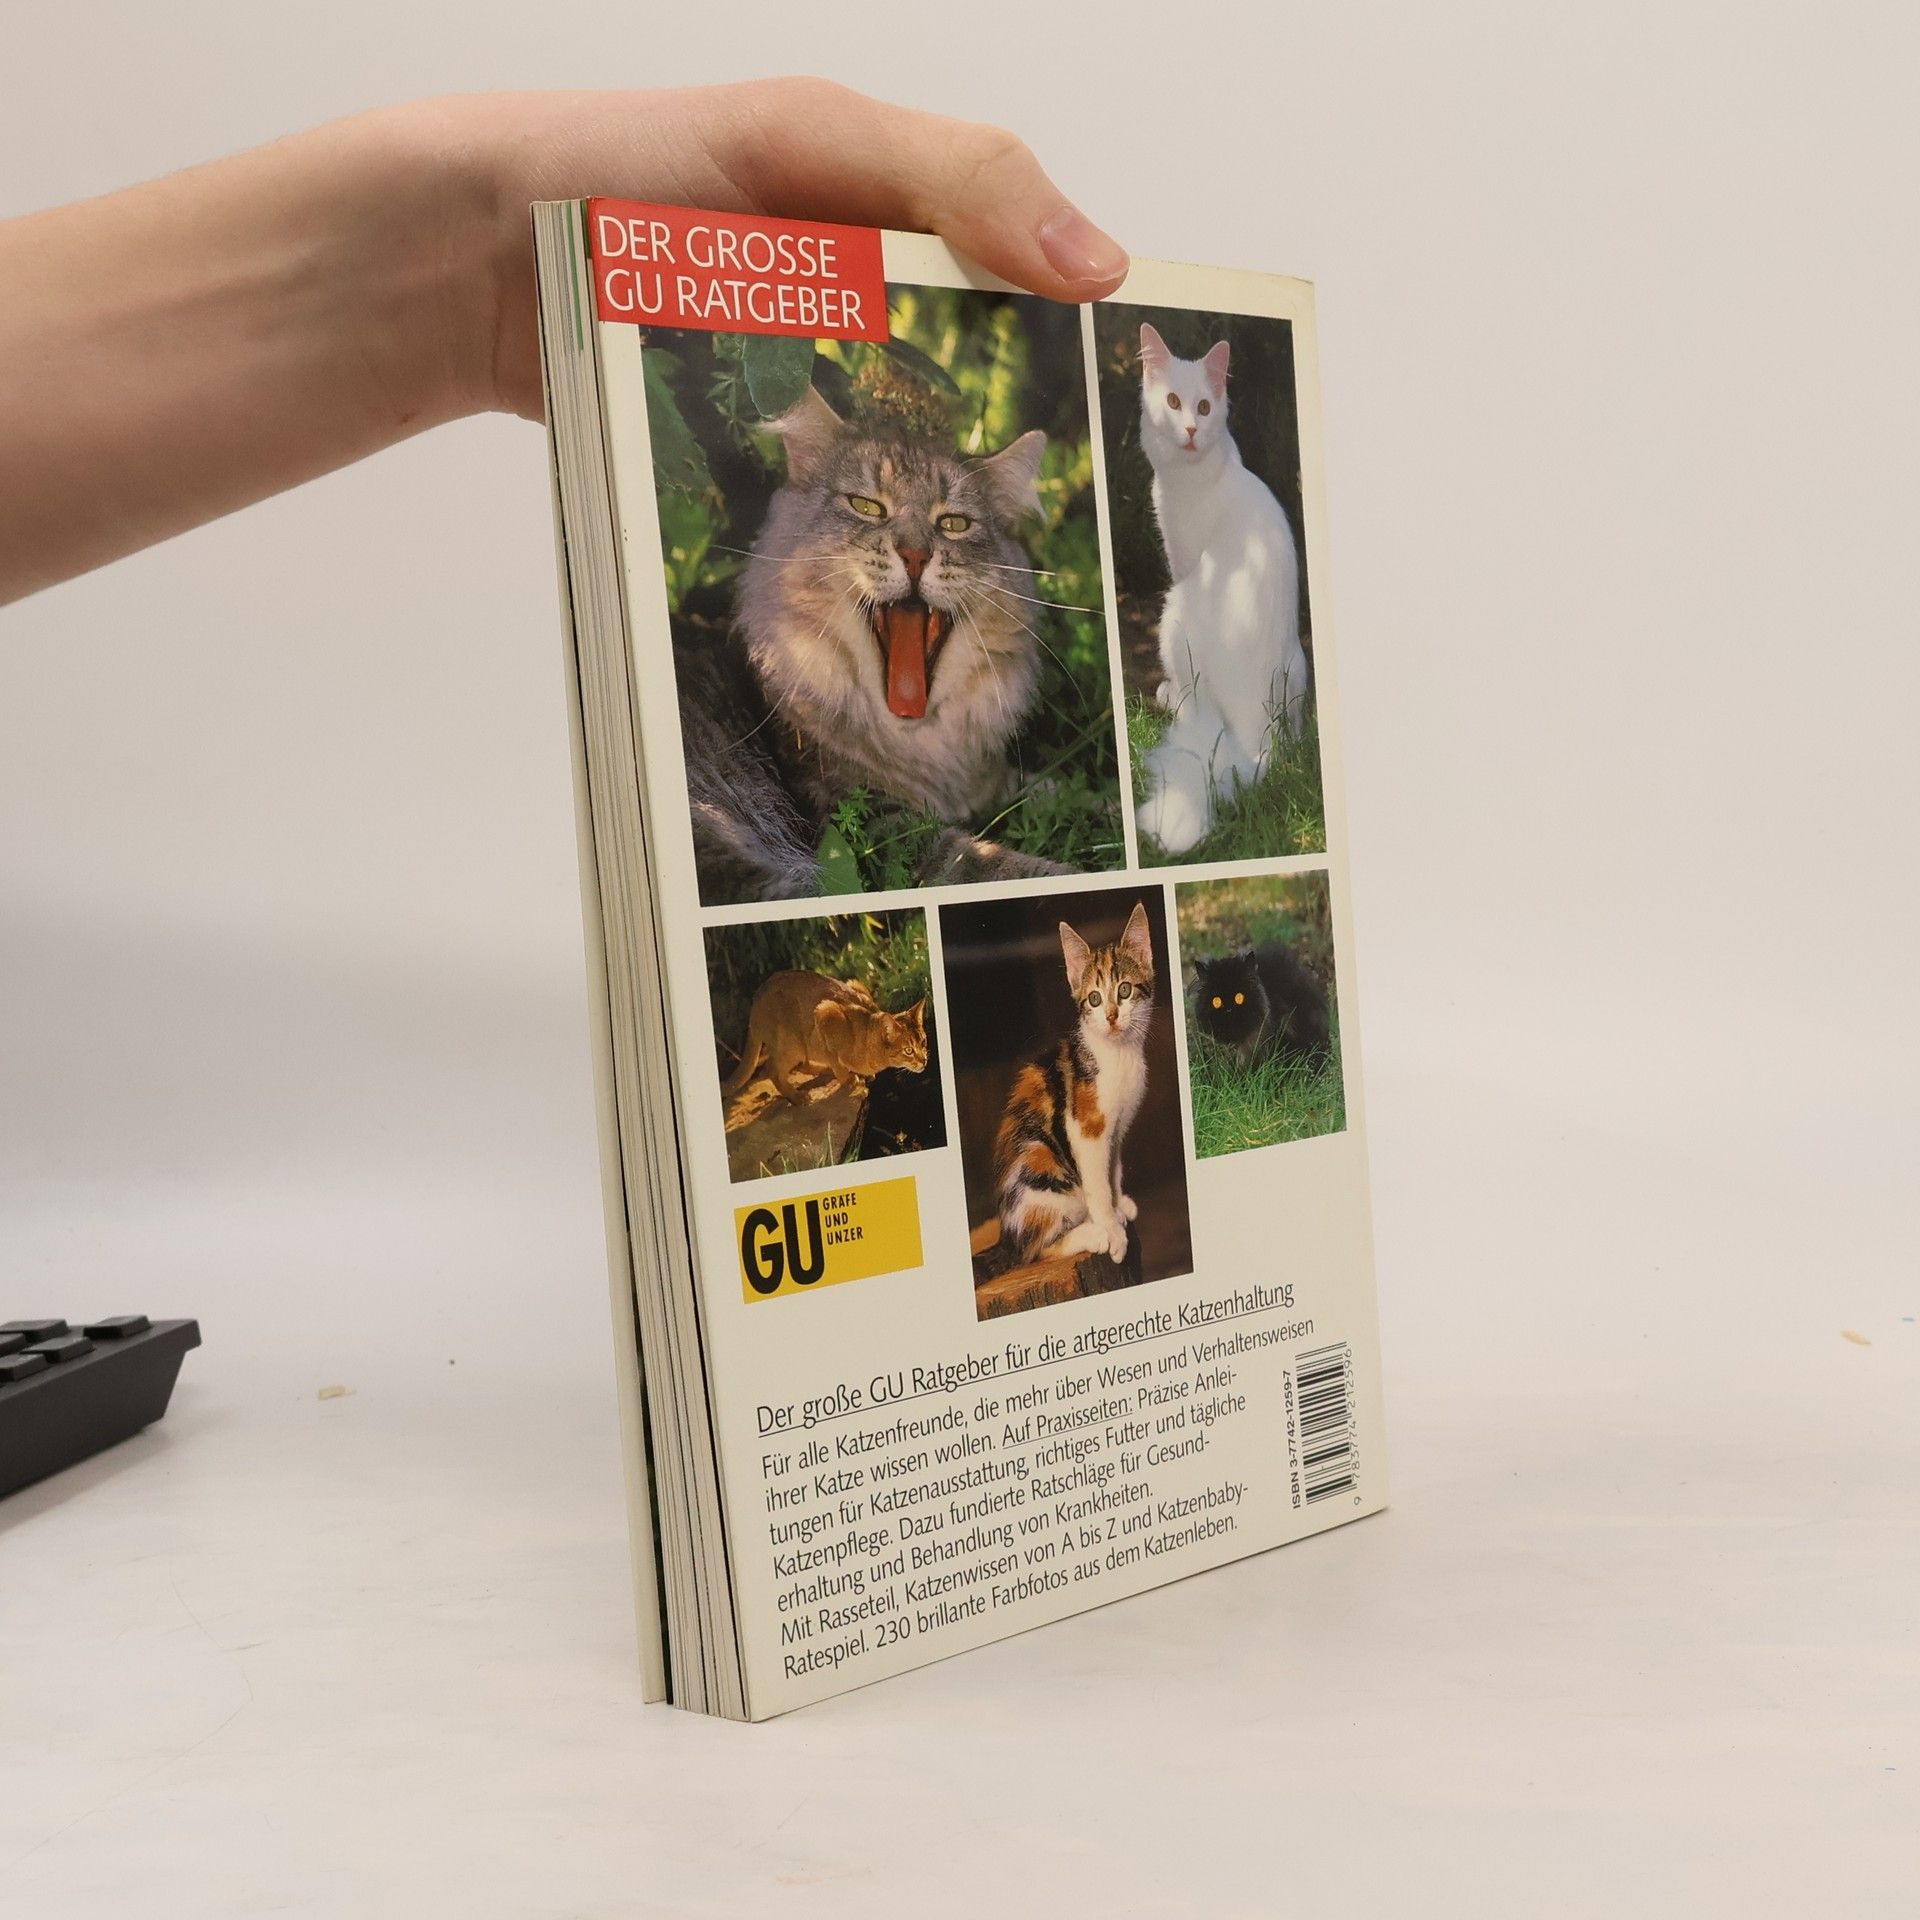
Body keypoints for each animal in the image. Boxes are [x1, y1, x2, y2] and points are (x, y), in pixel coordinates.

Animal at [677, 387, 1069, 903]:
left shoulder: (995, 785)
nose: (916, 555)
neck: (928, 749)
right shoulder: (884, 831)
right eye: (867, 507)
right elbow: (1003, 868)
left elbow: (1061, 791)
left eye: (954, 523)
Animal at [723, 971, 929, 1107]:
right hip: (792, 1042)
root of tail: (754, 1005)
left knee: (802, 1066)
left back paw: (824, 1072)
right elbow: (836, 1059)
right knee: (772, 1069)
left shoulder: (856, 985)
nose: (924, 1061)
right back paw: (797, 1097)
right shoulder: (826, 1014)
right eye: (908, 1050)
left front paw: (861, 1074)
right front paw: (848, 1079)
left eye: (923, 1042)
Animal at [990, 901, 1154, 1267]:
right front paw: (1112, 1231)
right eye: (1093, 999)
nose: (1111, 1016)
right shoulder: (1087, 1129)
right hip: (1042, 1169)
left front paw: (1119, 1207)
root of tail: (1007, 1240)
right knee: (1035, 1251)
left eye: (1124, 990)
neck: (1117, 1053)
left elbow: (1112, 1172)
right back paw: (1092, 1235)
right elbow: (1097, 1184)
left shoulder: (1115, 1130)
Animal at [1131, 322, 1310, 857]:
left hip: (1174, 615)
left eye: (1206, 407)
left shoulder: (1182, 559)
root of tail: (1253, 747)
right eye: (1173, 402)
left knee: (1189, 705)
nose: (1192, 430)